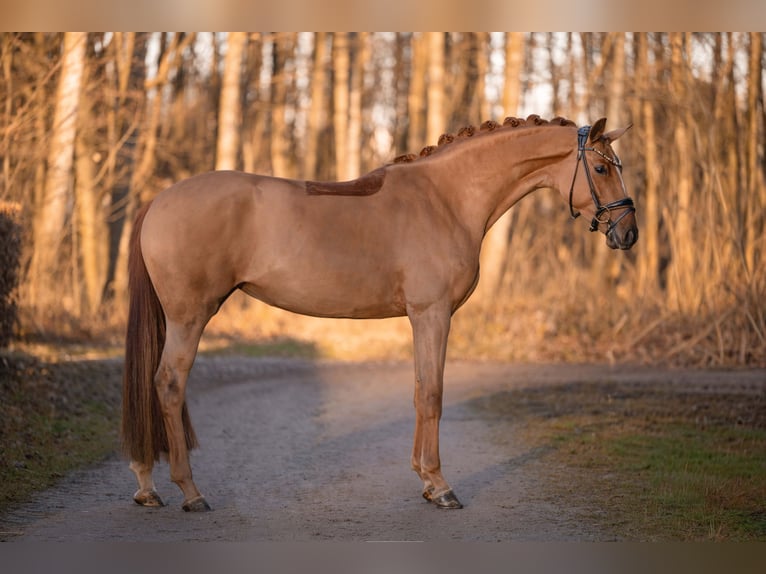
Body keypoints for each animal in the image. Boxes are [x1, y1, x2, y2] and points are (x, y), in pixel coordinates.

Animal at [121, 115, 637, 512]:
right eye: (599, 167)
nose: (628, 232)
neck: (446, 198)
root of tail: (158, 201)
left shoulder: (421, 317)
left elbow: (418, 389)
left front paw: (425, 482)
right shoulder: (433, 314)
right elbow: (433, 394)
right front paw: (441, 487)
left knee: (150, 382)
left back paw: (146, 486)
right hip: (190, 316)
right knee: (168, 383)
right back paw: (190, 492)